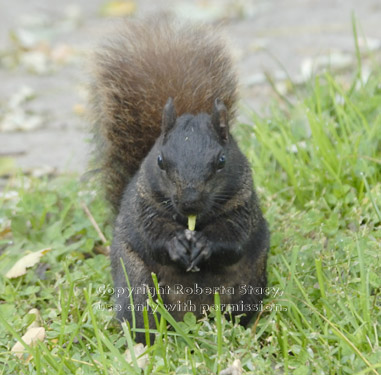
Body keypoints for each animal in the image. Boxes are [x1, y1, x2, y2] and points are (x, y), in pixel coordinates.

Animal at [89, 16, 268, 342]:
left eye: (222, 161)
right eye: (160, 161)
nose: (190, 202)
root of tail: (191, 317)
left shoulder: (242, 206)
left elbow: (233, 239)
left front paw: (206, 245)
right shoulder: (143, 206)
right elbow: (152, 235)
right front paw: (175, 244)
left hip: (246, 289)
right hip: (137, 288)